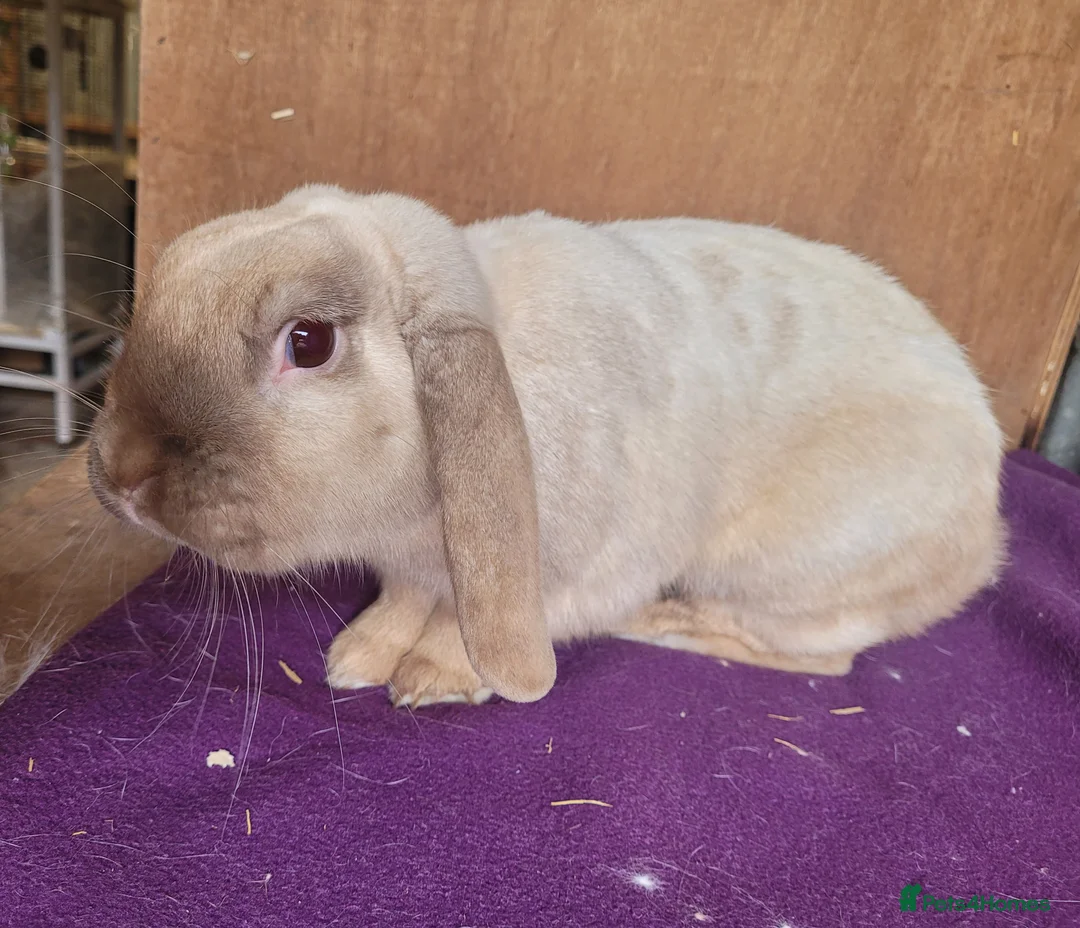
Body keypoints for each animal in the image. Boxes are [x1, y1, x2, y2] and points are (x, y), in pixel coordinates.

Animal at [87, 184, 1005, 706]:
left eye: (307, 343)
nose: (120, 472)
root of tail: (986, 524)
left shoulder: (558, 571)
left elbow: (463, 620)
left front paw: (437, 682)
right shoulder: (411, 566)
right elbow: (409, 601)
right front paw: (357, 659)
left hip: (788, 572)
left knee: (825, 660)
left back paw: (663, 621)